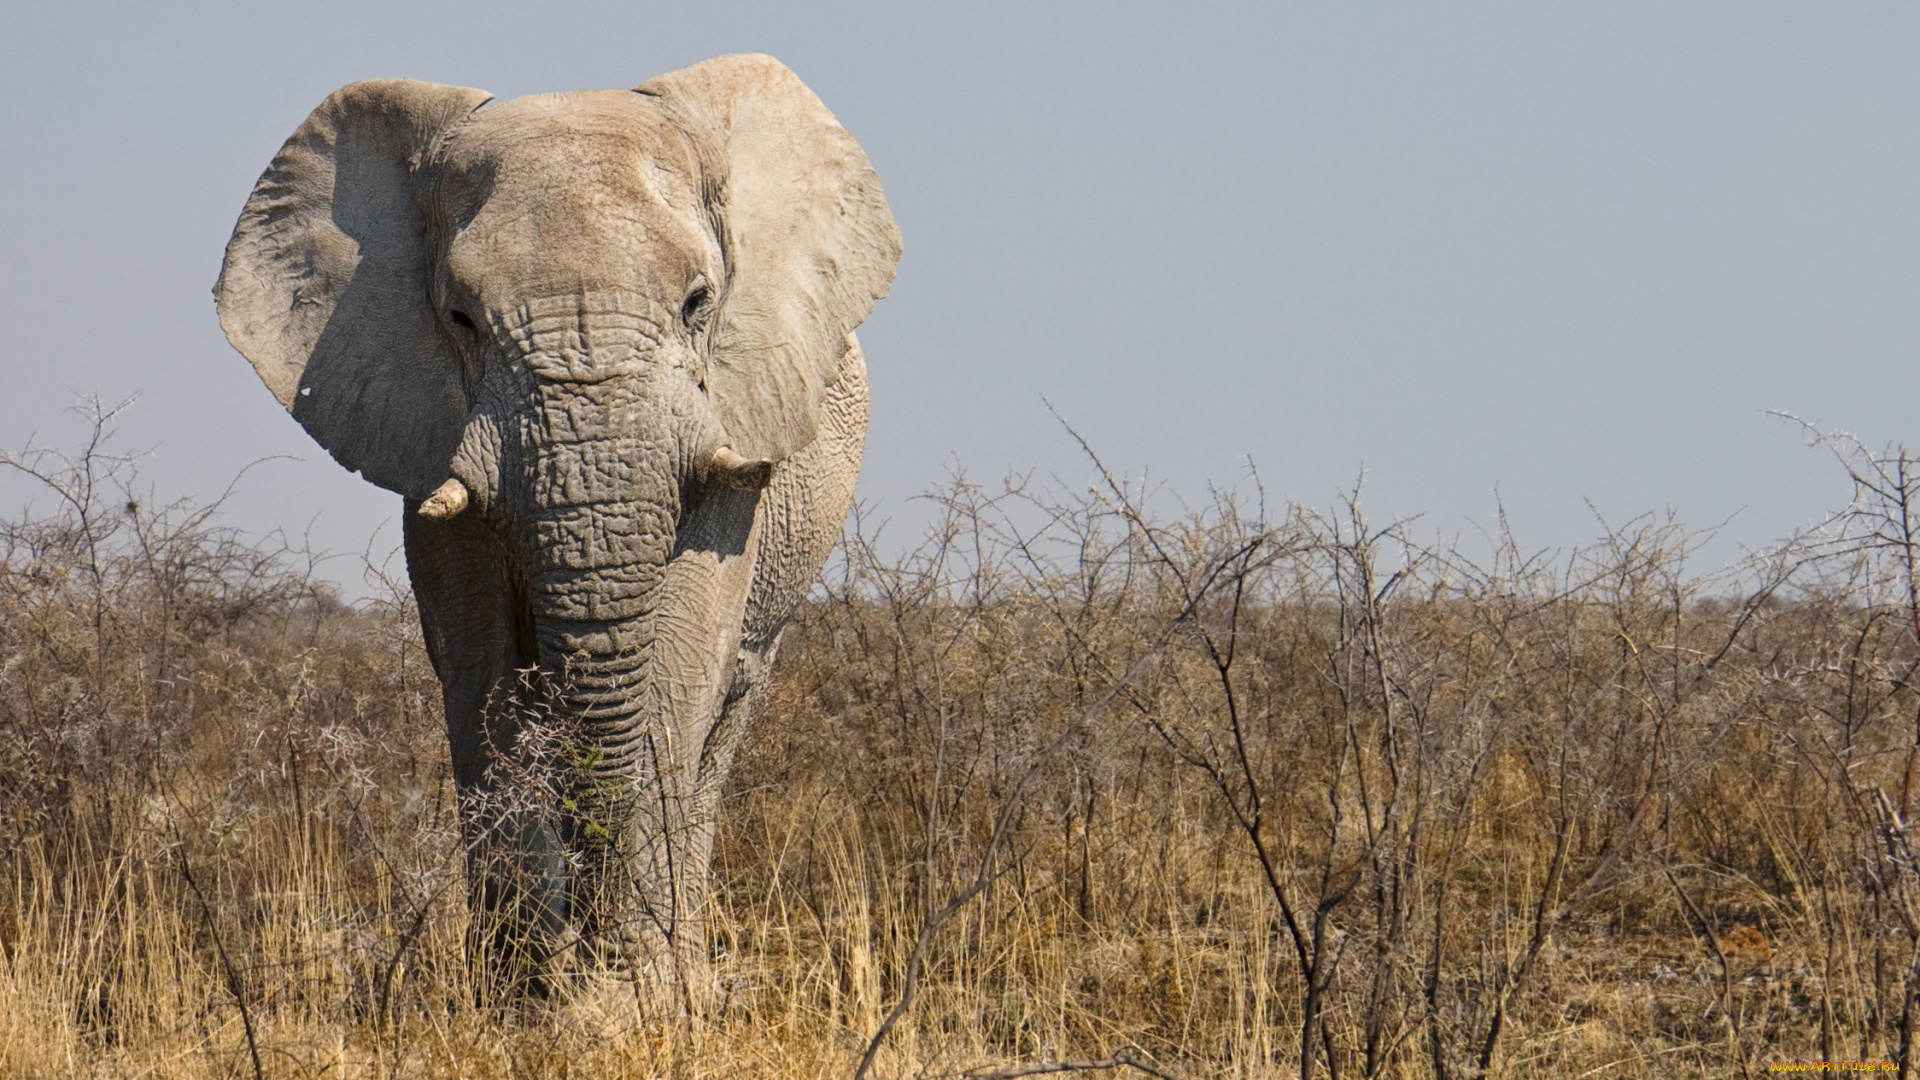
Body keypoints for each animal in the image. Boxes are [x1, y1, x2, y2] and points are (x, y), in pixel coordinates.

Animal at [214, 54, 902, 999]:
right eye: (461, 318)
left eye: (698, 303)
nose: (597, 951)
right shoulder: (430, 431)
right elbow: (481, 670)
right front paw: (526, 999)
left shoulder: (730, 421)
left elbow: (678, 661)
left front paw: (638, 1001)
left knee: (724, 712)